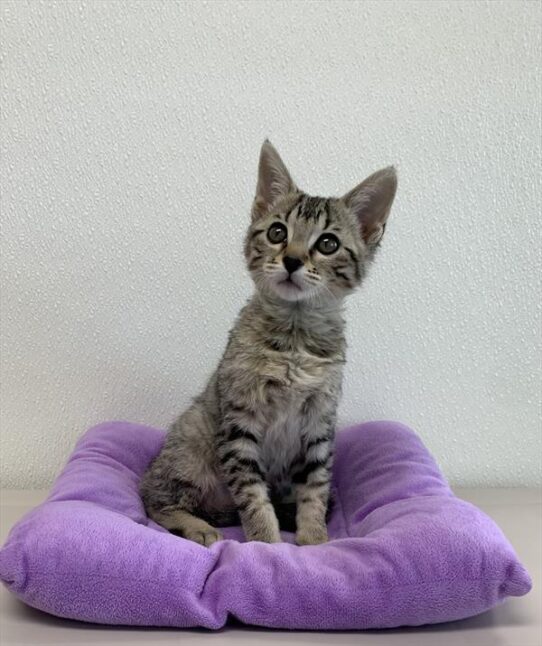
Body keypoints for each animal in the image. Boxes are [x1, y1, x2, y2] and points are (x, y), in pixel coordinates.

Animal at [141, 142, 400, 548]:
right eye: (278, 232)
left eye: (328, 243)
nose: (292, 260)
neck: (294, 335)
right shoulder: (239, 422)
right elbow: (250, 492)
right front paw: (266, 543)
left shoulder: (319, 423)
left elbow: (315, 487)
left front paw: (314, 539)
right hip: (192, 441)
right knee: (153, 498)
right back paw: (198, 526)